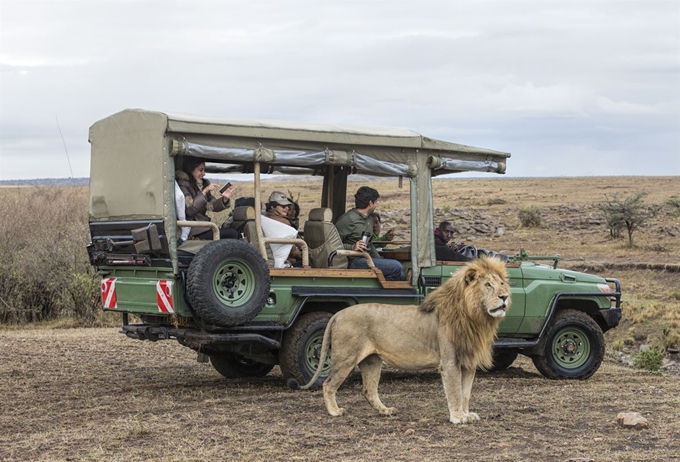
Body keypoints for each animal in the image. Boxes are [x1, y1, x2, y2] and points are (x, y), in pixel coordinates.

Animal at [286, 258, 510, 424]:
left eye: (501, 284)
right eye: (487, 285)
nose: (505, 296)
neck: (476, 317)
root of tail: (338, 314)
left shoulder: (468, 363)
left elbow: (465, 393)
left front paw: (466, 414)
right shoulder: (450, 362)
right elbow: (455, 391)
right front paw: (457, 418)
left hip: (372, 361)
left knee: (368, 390)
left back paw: (385, 411)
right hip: (345, 358)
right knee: (328, 384)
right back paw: (334, 411)